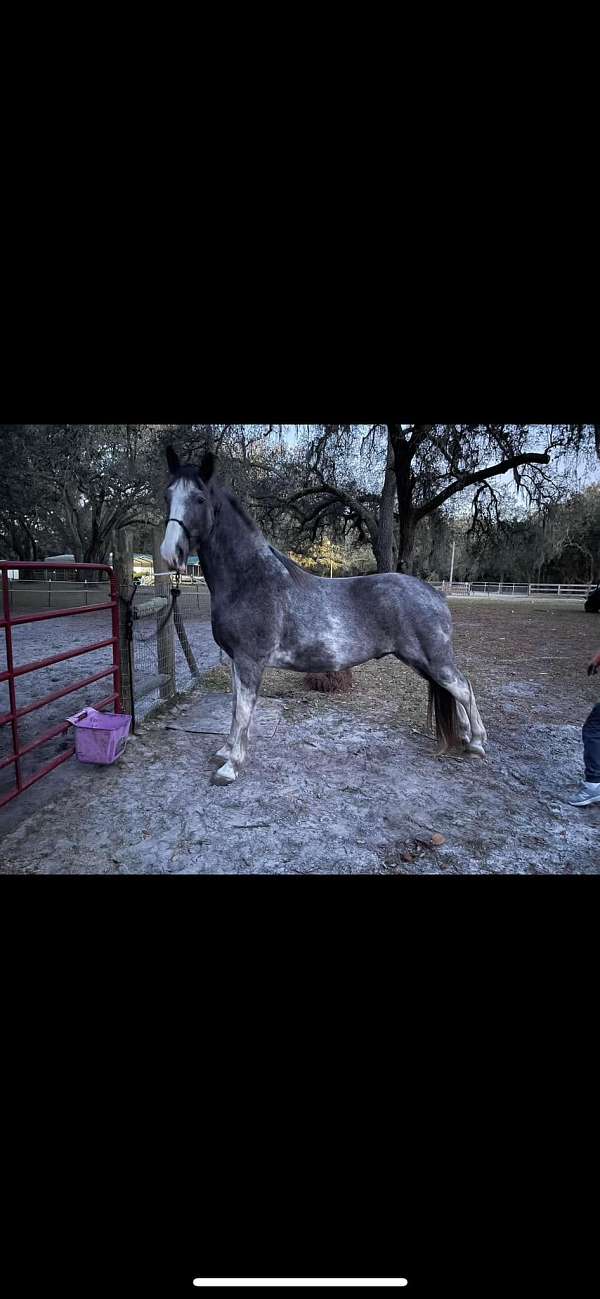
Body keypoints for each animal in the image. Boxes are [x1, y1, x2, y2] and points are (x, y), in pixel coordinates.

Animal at [160, 452, 488, 784]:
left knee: (464, 687)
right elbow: (233, 708)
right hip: (422, 663)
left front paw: (230, 766)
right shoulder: (235, 661)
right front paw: (225, 752)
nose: (170, 553)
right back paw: (464, 738)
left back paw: (476, 743)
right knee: (457, 692)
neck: (250, 578)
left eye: (200, 498)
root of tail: (435, 594)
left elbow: (243, 712)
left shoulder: (250, 661)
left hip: (434, 660)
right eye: (168, 496)